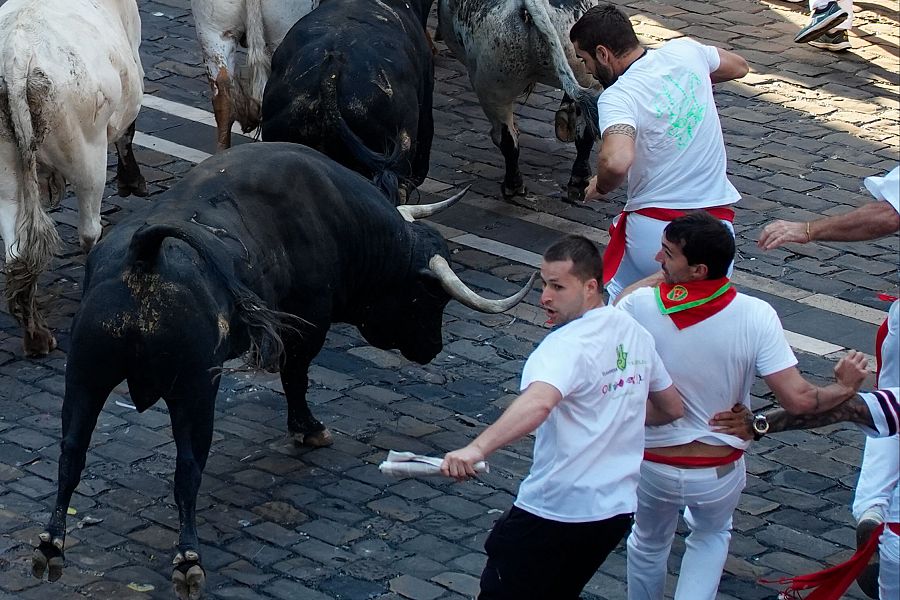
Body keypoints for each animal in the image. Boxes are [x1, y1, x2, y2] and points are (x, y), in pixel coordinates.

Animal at [0, 0, 146, 356]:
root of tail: (15, 53)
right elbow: (128, 131)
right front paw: (131, 180)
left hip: (6, 173)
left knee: (15, 252)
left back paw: (36, 335)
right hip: (87, 154)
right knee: (89, 230)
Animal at [33, 142, 536, 600]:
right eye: (431, 297)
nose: (434, 348)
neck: (332, 214)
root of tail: (145, 252)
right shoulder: (308, 325)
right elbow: (296, 378)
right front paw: (308, 428)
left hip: (85, 377)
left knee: (71, 454)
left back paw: (51, 546)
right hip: (193, 391)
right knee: (187, 468)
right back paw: (188, 560)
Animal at [440, 0, 600, 203]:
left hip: (492, 89)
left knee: (507, 139)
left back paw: (513, 186)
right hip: (586, 72)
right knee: (587, 129)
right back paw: (579, 181)